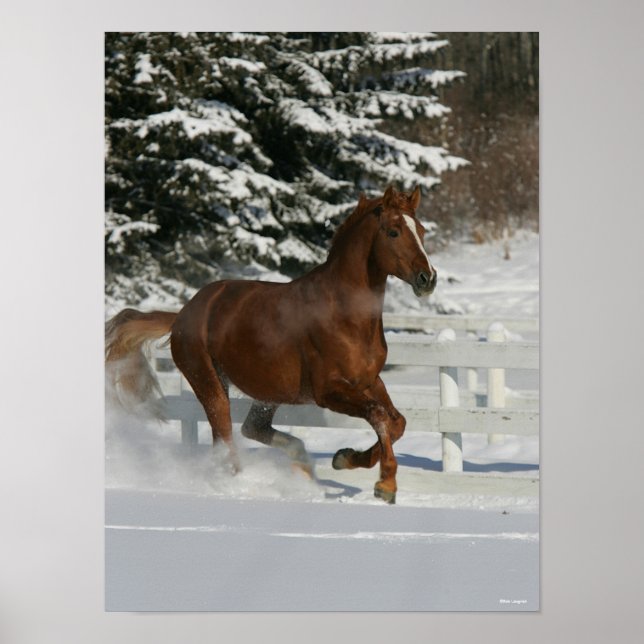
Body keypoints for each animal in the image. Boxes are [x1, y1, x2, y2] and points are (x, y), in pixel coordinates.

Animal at [105, 185, 437, 504]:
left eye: (421, 230)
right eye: (393, 231)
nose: (428, 279)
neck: (345, 315)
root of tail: (182, 315)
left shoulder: (370, 381)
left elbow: (397, 422)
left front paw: (344, 458)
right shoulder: (329, 391)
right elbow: (379, 417)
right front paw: (385, 485)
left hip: (269, 390)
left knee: (252, 427)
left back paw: (300, 463)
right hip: (210, 383)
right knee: (225, 437)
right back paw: (238, 484)